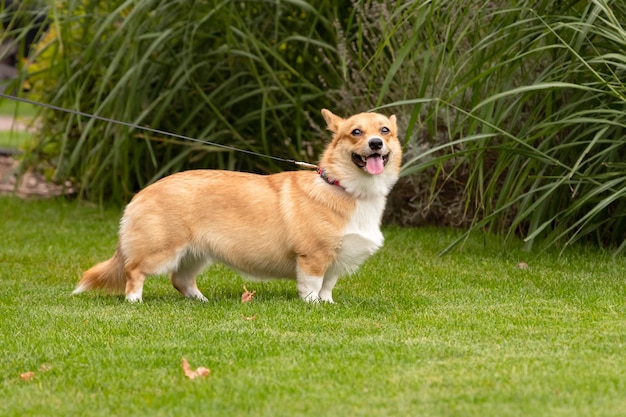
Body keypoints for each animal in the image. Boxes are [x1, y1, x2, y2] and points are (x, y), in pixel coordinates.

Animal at [72, 109, 400, 300]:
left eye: (384, 130)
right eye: (356, 132)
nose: (375, 144)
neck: (346, 188)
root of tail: (142, 193)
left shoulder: (336, 259)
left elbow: (327, 286)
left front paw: (326, 304)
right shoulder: (312, 257)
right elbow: (311, 285)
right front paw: (311, 306)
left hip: (196, 253)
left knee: (180, 279)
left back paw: (201, 301)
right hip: (161, 250)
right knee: (134, 271)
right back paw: (134, 301)